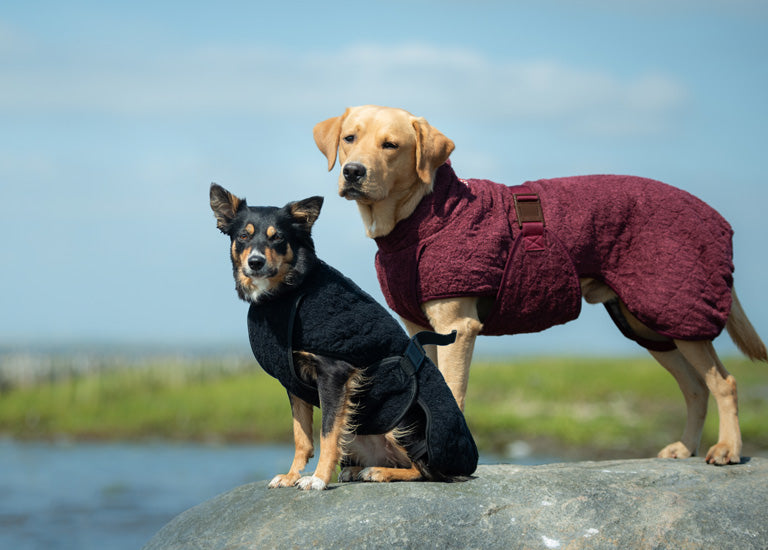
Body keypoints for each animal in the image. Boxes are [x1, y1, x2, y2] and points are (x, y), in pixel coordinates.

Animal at [207, 184, 476, 492]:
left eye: (278, 239)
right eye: (243, 236)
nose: (255, 262)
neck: (289, 289)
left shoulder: (334, 373)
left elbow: (328, 433)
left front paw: (318, 479)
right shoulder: (292, 381)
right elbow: (302, 436)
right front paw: (291, 475)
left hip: (404, 416)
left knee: (426, 470)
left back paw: (378, 472)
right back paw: (358, 469)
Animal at [314, 104, 768, 466]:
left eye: (391, 145)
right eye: (350, 138)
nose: (353, 171)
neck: (418, 216)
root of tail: (714, 216)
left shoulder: (458, 327)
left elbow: (453, 392)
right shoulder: (420, 332)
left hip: (678, 308)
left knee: (724, 383)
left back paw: (727, 449)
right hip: (652, 321)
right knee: (695, 388)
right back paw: (685, 448)